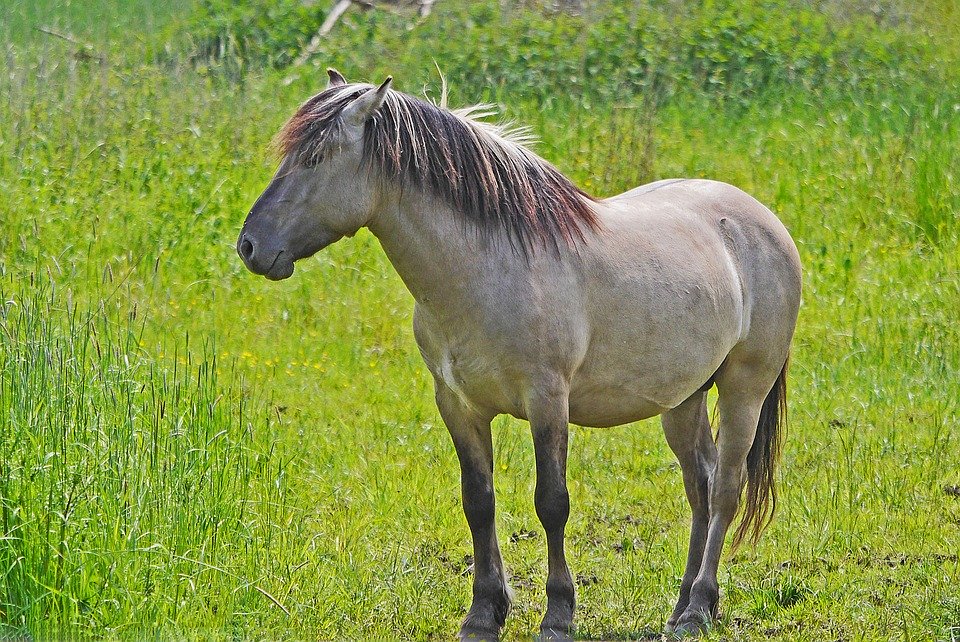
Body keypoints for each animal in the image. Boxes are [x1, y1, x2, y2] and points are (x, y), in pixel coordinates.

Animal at [238, 71, 804, 636]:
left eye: (317, 158)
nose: (249, 246)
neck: (486, 270)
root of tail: (764, 221)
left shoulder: (547, 400)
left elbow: (551, 503)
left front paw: (557, 614)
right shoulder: (458, 405)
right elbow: (478, 502)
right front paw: (484, 613)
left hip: (743, 389)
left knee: (726, 486)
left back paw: (700, 608)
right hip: (682, 398)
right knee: (700, 486)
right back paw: (681, 604)